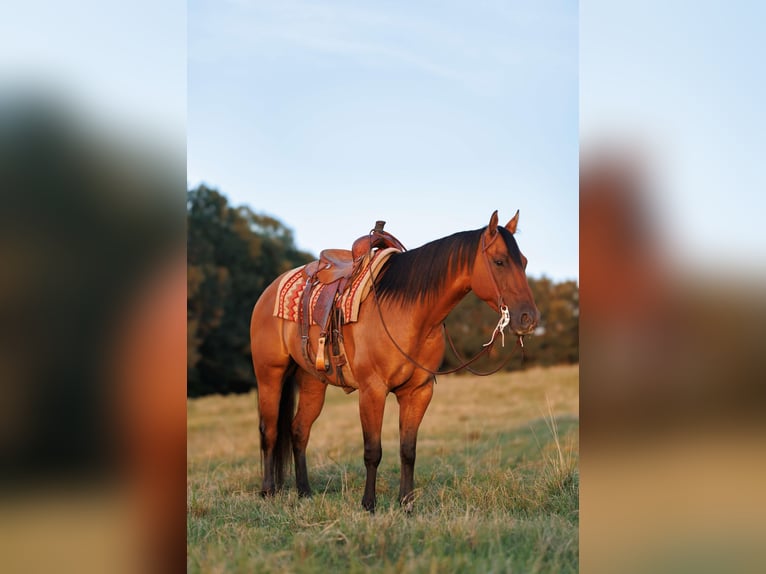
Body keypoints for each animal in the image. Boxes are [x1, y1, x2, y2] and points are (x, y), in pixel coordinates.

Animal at [249, 210, 539, 512]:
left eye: (524, 262)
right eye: (499, 261)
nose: (528, 319)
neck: (409, 313)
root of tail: (269, 291)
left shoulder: (418, 392)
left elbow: (408, 450)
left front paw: (407, 504)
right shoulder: (373, 391)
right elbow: (372, 451)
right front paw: (369, 505)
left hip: (312, 381)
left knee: (299, 430)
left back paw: (304, 492)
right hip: (270, 375)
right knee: (270, 430)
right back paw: (268, 491)